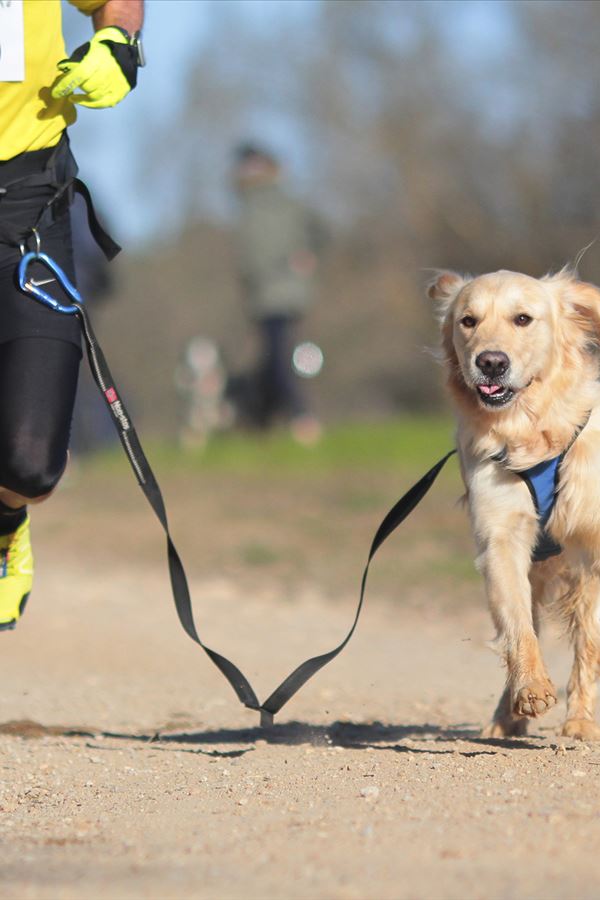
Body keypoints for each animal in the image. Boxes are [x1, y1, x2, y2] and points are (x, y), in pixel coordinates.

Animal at [428, 270, 600, 740]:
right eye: (468, 321)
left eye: (523, 318)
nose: (490, 362)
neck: (529, 428)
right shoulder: (500, 535)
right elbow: (518, 625)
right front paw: (530, 688)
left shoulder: (593, 545)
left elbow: (589, 645)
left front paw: (581, 721)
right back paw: (506, 717)